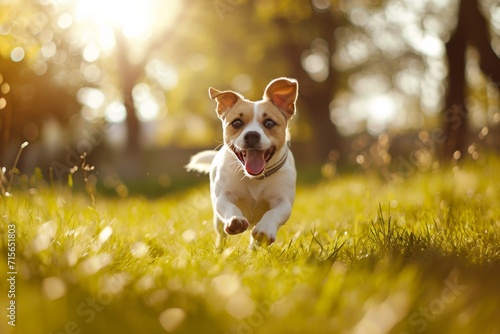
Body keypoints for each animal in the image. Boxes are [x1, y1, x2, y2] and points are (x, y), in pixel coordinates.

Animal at [187, 77, 296, 247]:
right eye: (237, 123)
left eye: (269, 123)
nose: (252, 135)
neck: (254, 178)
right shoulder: (224, 196)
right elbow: (229, 206)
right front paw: (235, 220)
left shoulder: (283, 200)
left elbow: (274, 212)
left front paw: (265, 230)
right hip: (217, 221)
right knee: (221, 235)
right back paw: (220, 249)